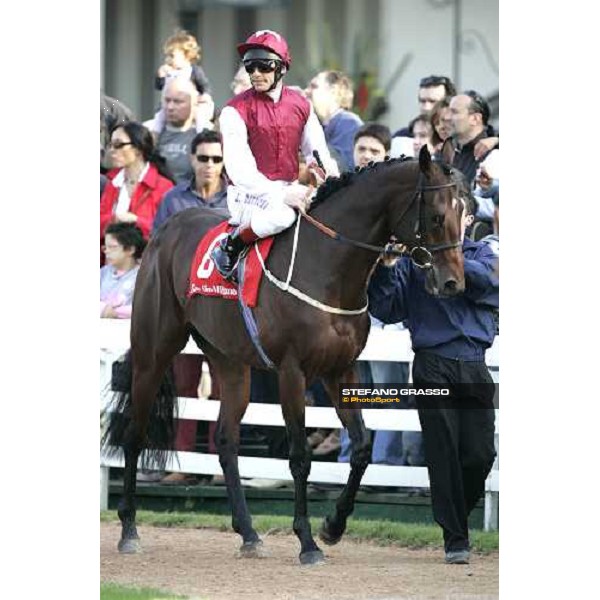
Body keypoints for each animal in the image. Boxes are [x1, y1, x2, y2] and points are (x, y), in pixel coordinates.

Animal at [103, 143, 468, 564]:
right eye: (438, 216)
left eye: (464, 212)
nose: (453, 283)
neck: (326, 266)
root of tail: (166, 228)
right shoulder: (292, 372)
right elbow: (299, 458)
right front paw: (307, 541)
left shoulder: (341, 370)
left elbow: (361, 447)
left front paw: (333, 526)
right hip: (154, 351)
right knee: (134, 435)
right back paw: (129, 529)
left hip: (230, 361)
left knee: (226, 440)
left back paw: (248, 533)